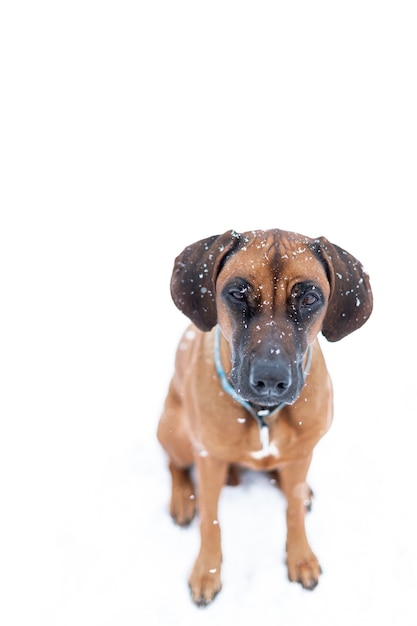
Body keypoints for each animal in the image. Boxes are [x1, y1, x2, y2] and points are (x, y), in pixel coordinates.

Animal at [158, 229, 372, 604]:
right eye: (236, 293)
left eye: (310, 298)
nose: (270, 379)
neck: (262, 414)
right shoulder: (209, 458)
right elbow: (210, 520)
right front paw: (207, 571)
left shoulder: (302, 453)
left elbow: (293, 512)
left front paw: (301, 558)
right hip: (178, 432)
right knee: (176, 464)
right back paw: (183, 498)